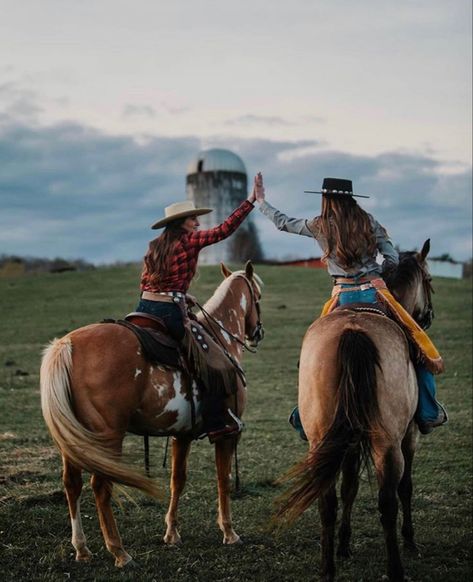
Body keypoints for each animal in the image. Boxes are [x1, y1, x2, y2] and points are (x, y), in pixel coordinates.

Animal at [39, 262, 262, 568]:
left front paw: (171, 533)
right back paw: (119, 552)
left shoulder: (182, 435)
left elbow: (177, 480)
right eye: (258, 297)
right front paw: (229, 532)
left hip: (73, 439)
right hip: (108, 436)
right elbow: (223, 479)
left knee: (72, 484)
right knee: (101, 486)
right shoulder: (227, 433)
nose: (257, 332)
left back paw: (82, 549)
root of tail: (67, 345)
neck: (221, 339)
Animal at [274, 242, 436, 582]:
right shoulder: (409, 435)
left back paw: (327, 569)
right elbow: (406, 487)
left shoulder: (345, 441)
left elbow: (348, 487)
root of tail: (353, 331)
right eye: (430, 280)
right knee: (388, 501)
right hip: (388, 444)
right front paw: (410, 541)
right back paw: (396, 568)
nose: (428, 317)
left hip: (322, 440)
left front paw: (344, 544)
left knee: (327, 501)